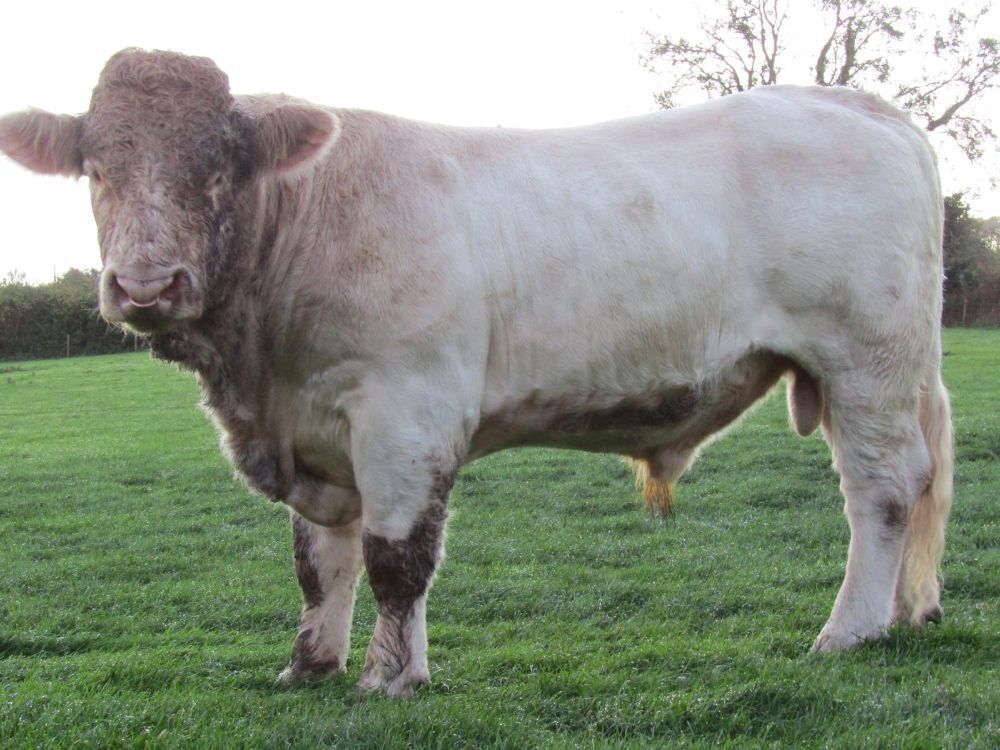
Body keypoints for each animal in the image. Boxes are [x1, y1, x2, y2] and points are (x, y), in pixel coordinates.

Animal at [0, 49, 953, 698]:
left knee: (884, 490)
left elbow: (396, 558)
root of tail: (864, 105)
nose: (145, 286)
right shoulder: (315, 430)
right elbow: (320, 562)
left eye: (218, 169)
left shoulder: (406, 410)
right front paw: (310, 665)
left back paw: (849, 632)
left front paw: (391, 677)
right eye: (96, 168)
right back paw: (905, 615)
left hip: (866, 362)